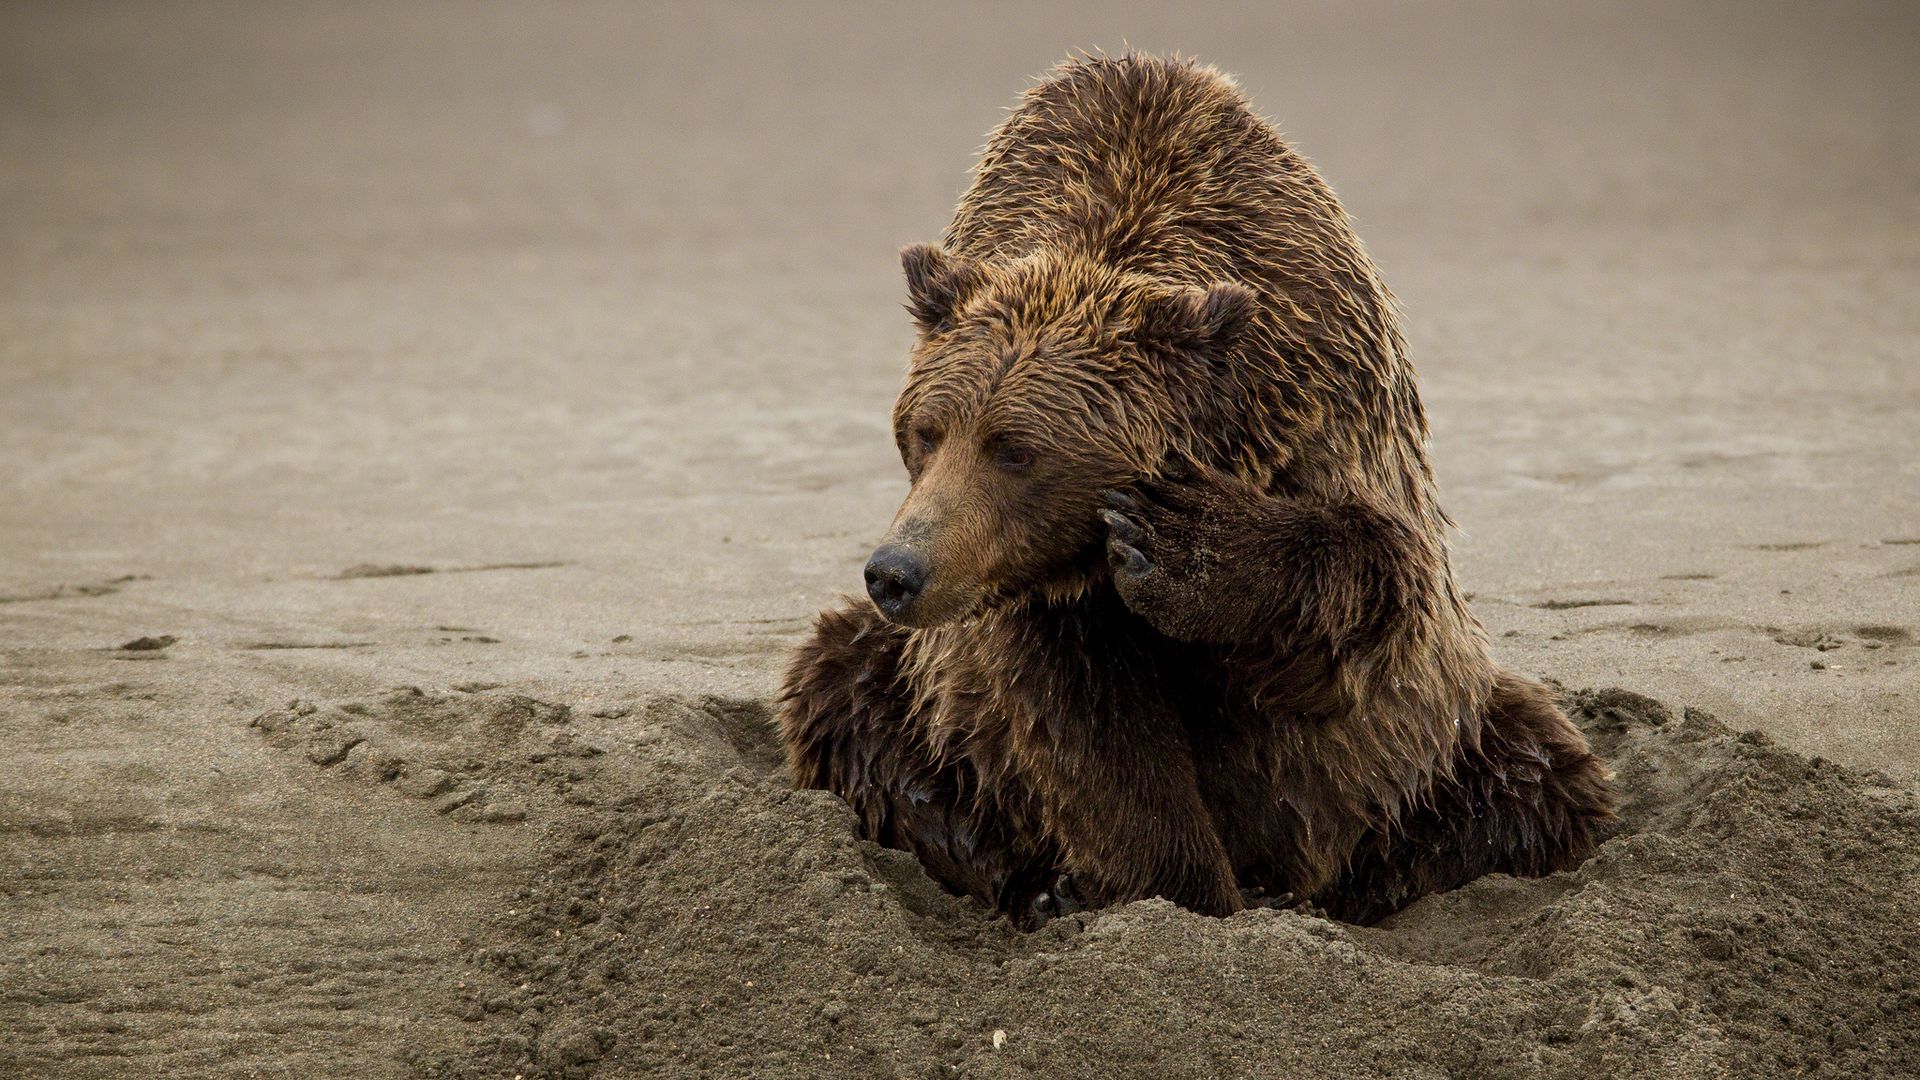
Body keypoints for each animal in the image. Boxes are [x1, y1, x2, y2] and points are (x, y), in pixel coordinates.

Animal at [775, 54, 1605, 922]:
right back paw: (1031, 880)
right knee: (840, 686)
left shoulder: (1321, 401)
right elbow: (1090, 728)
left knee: (1534, 779)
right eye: (926, 431)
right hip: (915, 695)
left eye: (1015, 450)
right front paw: (1177, 888)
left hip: (1441, 743)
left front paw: (1180, 547)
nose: (897, 572)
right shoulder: (1041, 599)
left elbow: (1370, 583)